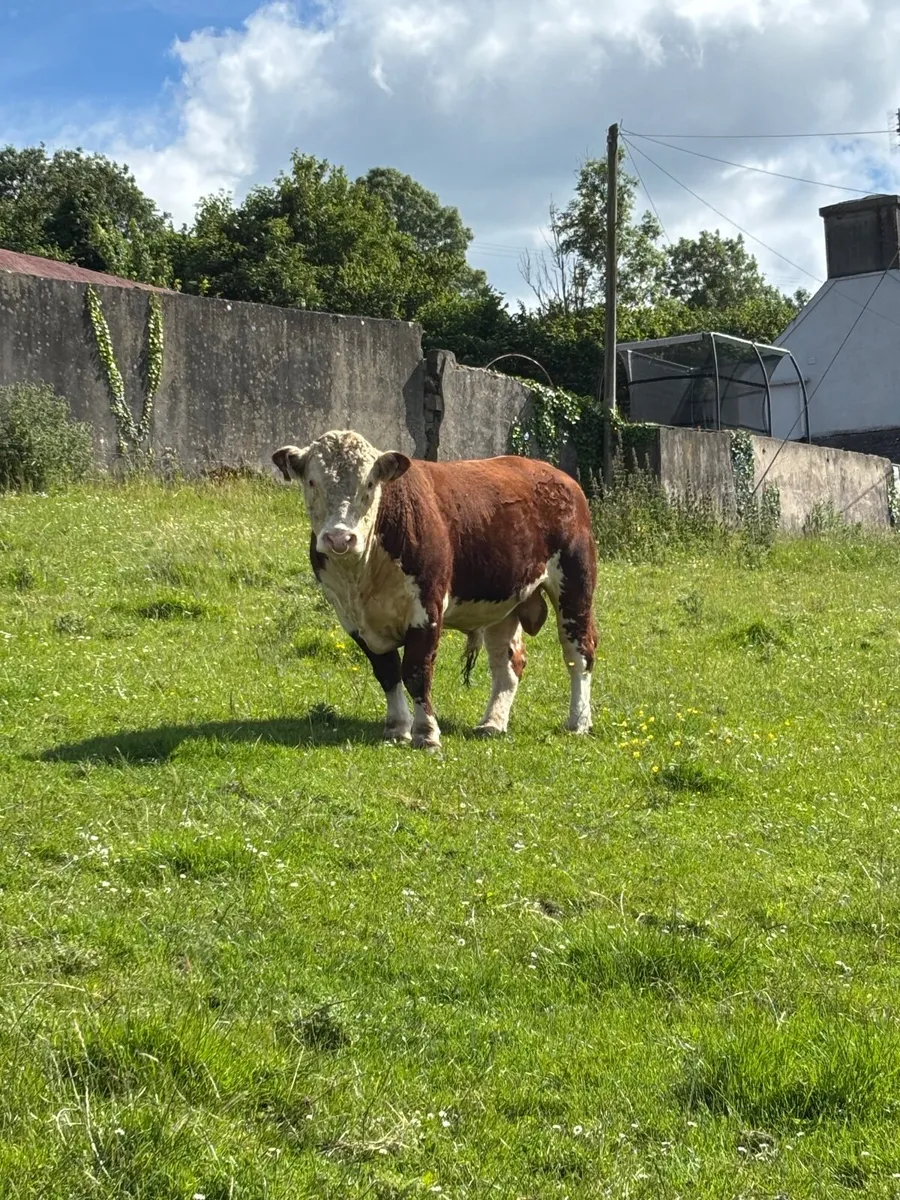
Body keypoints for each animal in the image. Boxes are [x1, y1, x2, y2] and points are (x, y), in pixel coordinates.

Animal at [273, 429, 597, 751]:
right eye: (312, 481)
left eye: (369, 483)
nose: (340, 538)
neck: (361, 575)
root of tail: (557, 475)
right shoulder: (353, 619)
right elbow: (387, 673)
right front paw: (396, 728)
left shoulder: (427, 608)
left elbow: (417, 672)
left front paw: (426, 733)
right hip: (503, 602)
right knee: (507, 664)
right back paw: (492, 723)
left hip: (575, 586)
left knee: (579, 653)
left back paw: (578, 722)